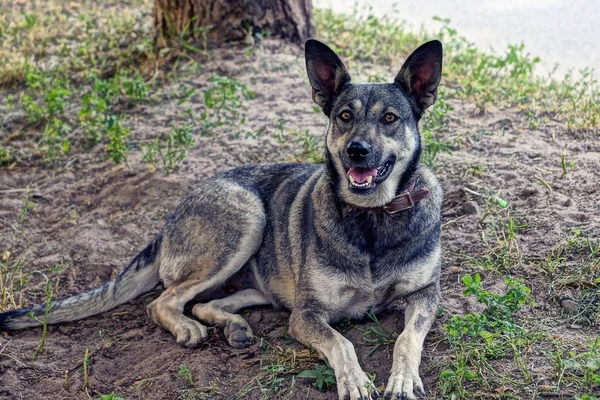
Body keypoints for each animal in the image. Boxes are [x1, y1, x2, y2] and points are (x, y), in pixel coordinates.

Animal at [0, 38, 442, 400]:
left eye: (390, 118)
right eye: (344, 116)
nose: (357, 151)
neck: (372, 217)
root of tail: (170, 219)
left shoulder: (426, 293)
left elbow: (407, 337)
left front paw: (403, 379)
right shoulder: (306, 314)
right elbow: (342, 343)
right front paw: (354, 380)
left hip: (258, 273)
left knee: (205, 303)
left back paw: (233, 326)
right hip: (246, 220)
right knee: (163, 301)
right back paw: (188, 327)